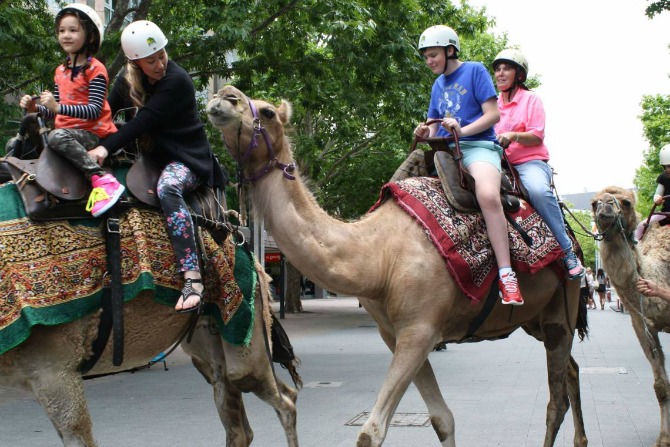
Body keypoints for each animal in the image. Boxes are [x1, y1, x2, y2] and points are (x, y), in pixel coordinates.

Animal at [0, 199, 300, 447]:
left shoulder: (54, 370)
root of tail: (244, 244)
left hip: (247, 333)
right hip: (207, 341)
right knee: (238, 423)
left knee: (284, 399)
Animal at [206, 85, 588, 447]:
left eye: (267, 111)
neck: (378, 255)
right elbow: (442, 419)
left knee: (555, 398)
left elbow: (370, 432)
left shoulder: (420, 330)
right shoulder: (395, 333)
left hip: (561, 309)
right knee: (571, 370)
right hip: (534, 318)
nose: (222, 96)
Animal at [593, 185, 670, 447]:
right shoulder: (642, 324)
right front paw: (664, 438)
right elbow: (660, 386)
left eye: (626, 202)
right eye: (593, 202)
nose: (604, 206)